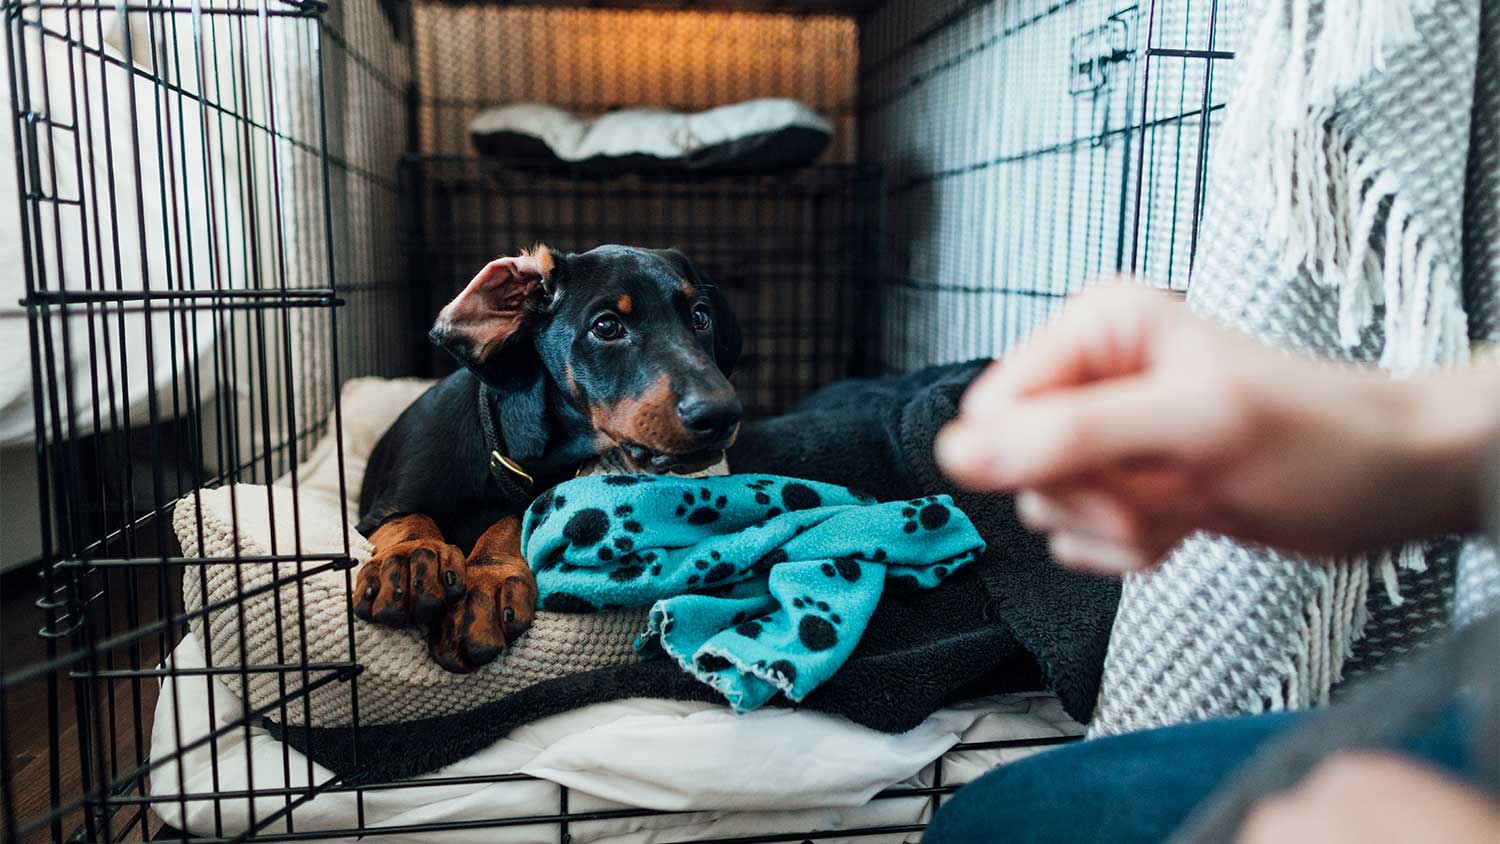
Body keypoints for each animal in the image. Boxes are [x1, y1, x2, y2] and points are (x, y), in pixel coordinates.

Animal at [352, 244, 750, 674]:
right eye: (606, 326)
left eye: (700, 317)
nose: (721, 414)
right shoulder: (372, 515)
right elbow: (407, 518)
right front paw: (412, 557)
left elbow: (512, 521)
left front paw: (486, 583)